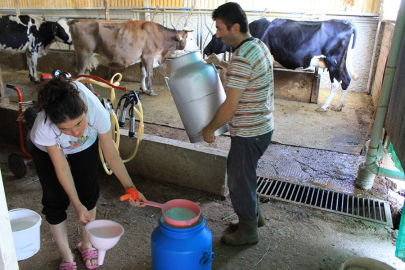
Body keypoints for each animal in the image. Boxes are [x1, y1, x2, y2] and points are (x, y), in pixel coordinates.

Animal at [204, 18, 358, 112]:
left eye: (215, 37)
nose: (205, 50)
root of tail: (348, 23)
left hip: (333, 61)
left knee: (336, 83)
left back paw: (324, 106)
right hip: (340, 62)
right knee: (347, 79)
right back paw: (339, 106)